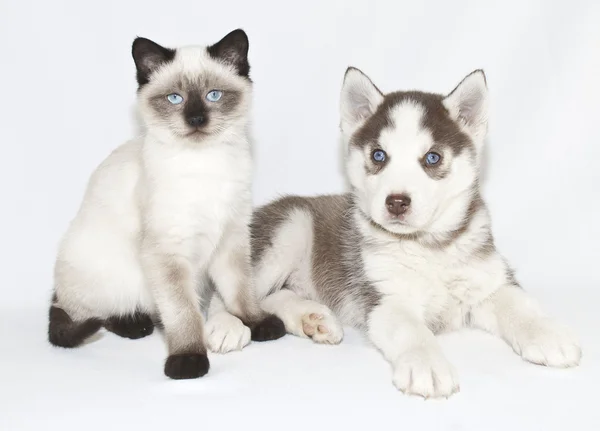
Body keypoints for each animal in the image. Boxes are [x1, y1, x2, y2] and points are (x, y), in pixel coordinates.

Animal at [48, 30, 288, 380]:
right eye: (175, 98)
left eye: (214, 95)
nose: (196, 119)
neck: (206, 163)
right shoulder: (167, 254)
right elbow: (183, 314)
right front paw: (188, 360)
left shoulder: (231, 238)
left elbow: (241, 291)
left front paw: (257, 324)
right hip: (110, 275)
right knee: (93, 315)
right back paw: (134, 325)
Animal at [253, 66, 580, 398]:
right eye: (379, 155)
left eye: (432, 157)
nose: (397, 202)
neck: (429, 247)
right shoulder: (384, 297)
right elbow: (411, 330)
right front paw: (427, 364)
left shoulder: (488, 279)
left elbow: (520, 305)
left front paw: (547, 333)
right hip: (291, 227)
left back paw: (312, 318)